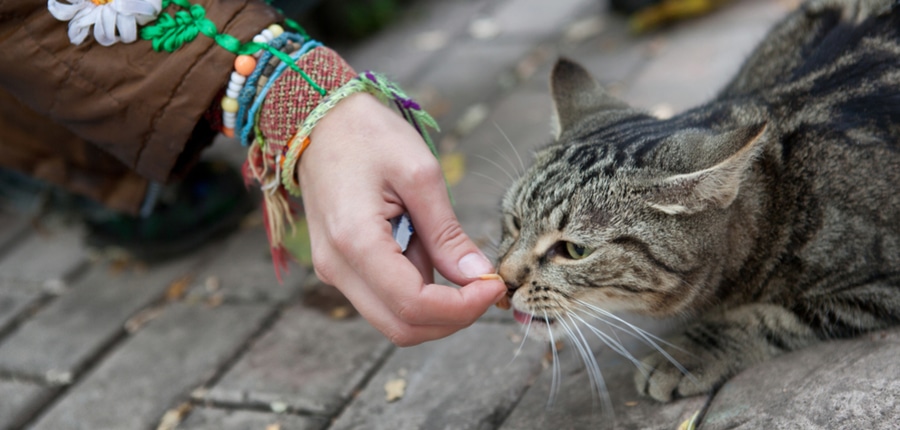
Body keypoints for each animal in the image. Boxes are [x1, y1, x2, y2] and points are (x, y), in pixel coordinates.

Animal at [496, 0, 900, 404]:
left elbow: (770, 316)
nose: (505, 279)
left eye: (575, 250)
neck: (779, 195)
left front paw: (689, 352)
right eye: (515, 222)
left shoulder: (881, 286)